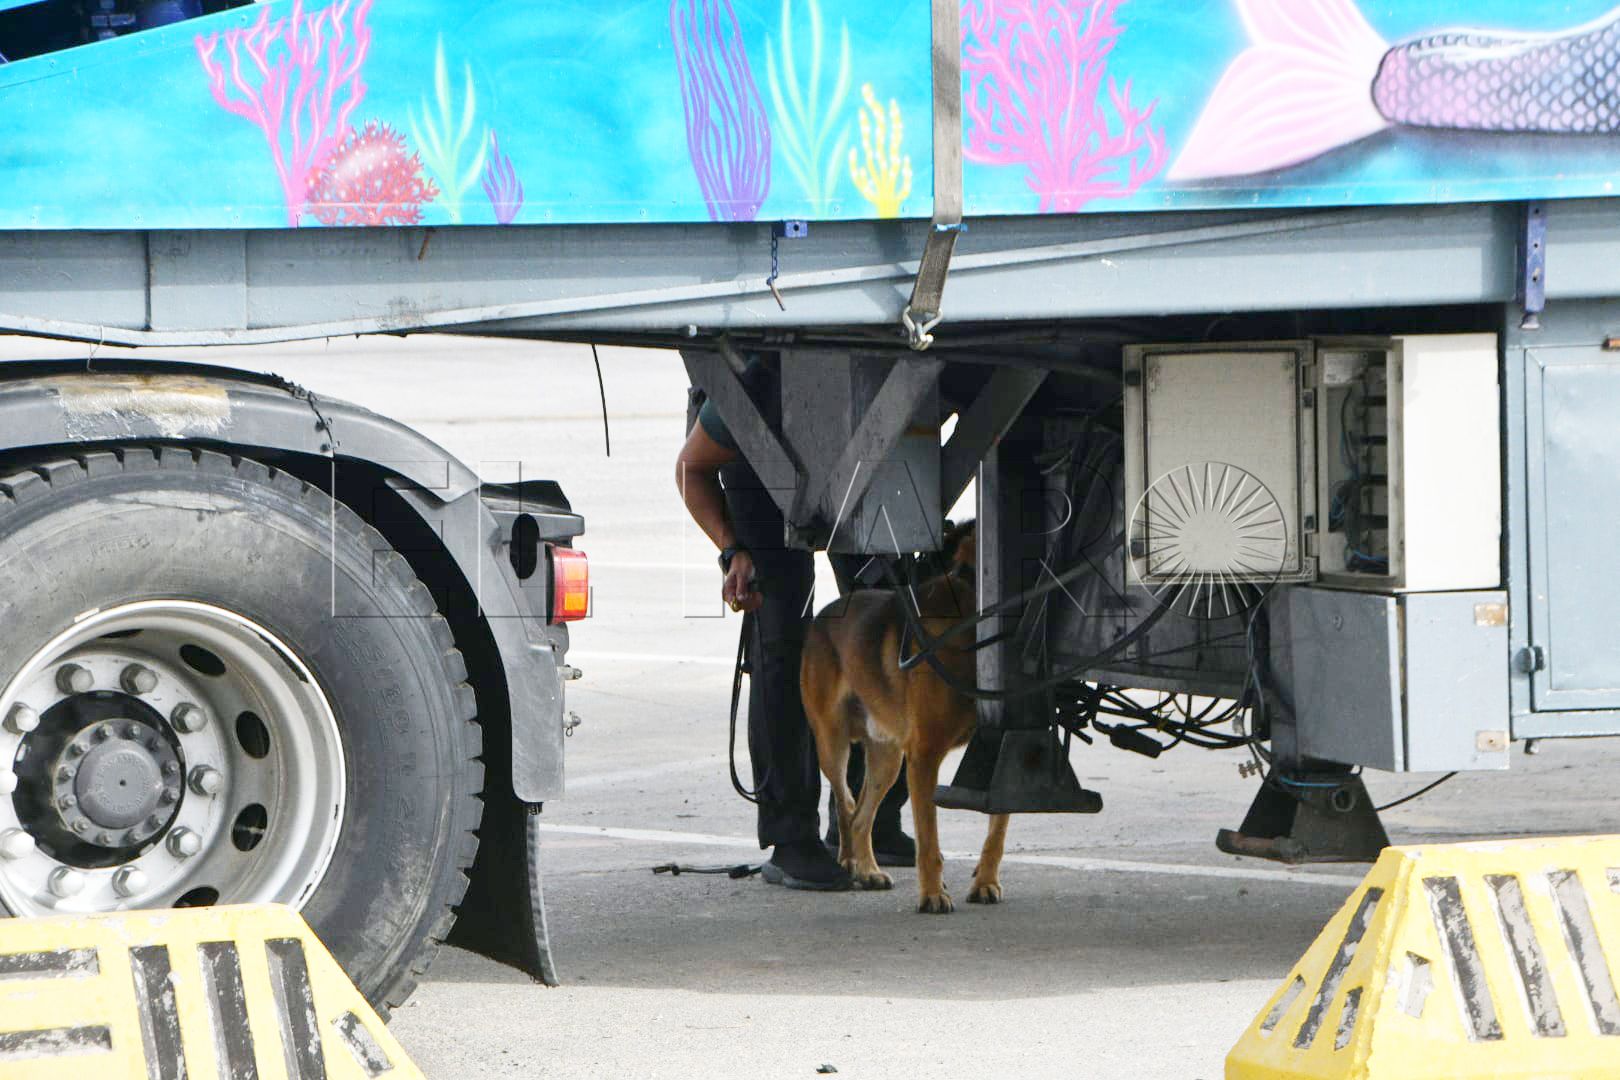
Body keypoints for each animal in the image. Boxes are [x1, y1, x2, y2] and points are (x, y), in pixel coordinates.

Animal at [800, 521, 1006, 914]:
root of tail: (825, 614)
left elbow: (997, 826)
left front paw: (985, 881)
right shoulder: (924, 756)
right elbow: (929, 839)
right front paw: (933, 893)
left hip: (888, 758)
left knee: (861, 815)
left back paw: (868, 870)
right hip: (833, 745)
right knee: (847, 803)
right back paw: (850, 863)